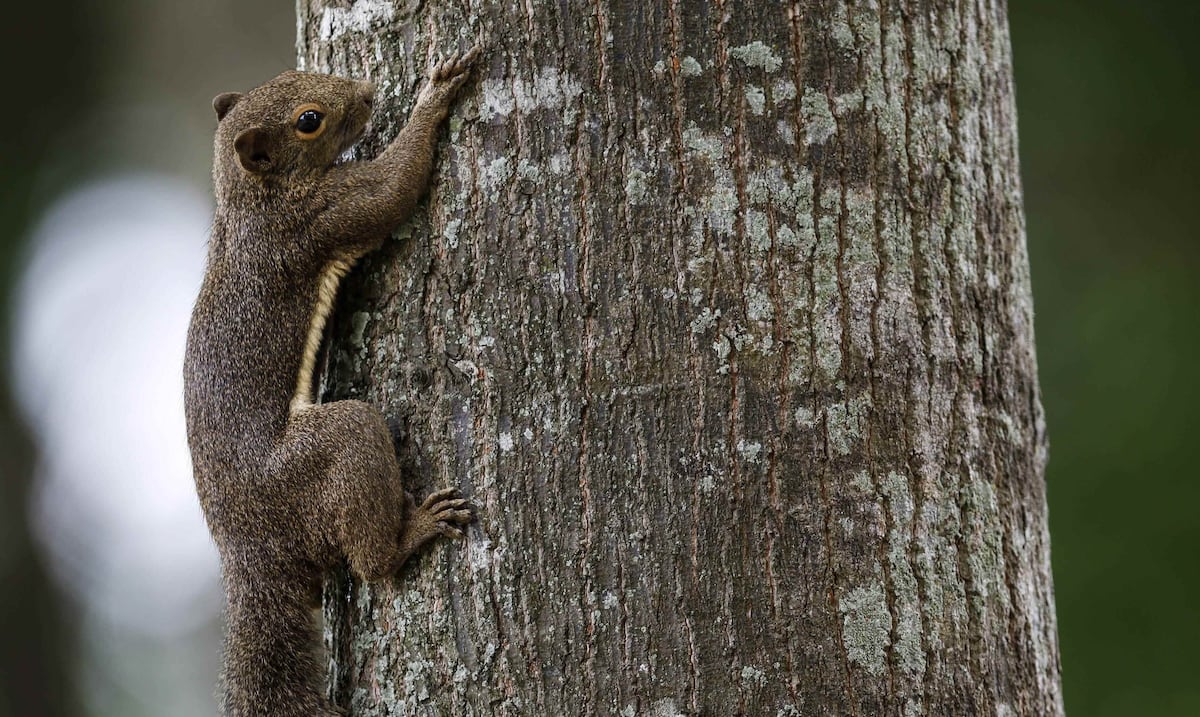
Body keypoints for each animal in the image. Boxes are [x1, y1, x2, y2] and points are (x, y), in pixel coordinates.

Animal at [183, 48, 480, 717]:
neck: (249, 201)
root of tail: (248, 550)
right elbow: (393, 189)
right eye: (309, 120)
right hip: (328, 449)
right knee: (371, 561)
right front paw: (435, 94)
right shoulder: (323, 214)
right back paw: (410, 534)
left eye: (292, 77)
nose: (368, 92)